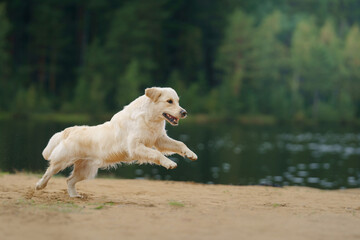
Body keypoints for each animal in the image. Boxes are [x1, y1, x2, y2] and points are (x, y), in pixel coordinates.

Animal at [35, 87, 198, 197]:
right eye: (169, 101)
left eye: (178, 101)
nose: (184, 112)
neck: (150, 119)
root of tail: (70, 130)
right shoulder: (135, 146)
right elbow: (157, 155)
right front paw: (169, 163)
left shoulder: (159, 139)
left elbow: (180, 144)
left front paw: (190, 154)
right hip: (62, 160)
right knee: (49, 171)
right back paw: (39, 185)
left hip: (85, 170)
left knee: (69, 180)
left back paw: (75, 196)